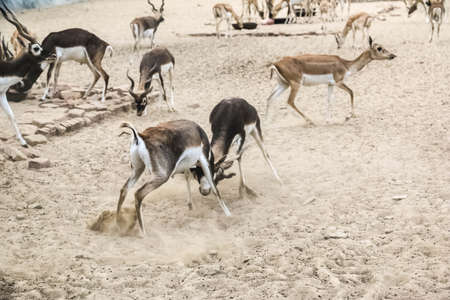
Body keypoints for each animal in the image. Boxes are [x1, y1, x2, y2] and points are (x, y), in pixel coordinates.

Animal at [266, 37, 396, 124]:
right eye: (379, 48)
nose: (393, 55)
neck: (346, 65)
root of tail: (276, 63)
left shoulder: (330, 84)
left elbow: (329, 100)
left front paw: (328, 120)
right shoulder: (338, 82)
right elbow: (351, 92)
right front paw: (349, 116)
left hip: (283, 84)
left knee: (270, 98)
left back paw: (268, 123)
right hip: (295, 84)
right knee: (290, 101)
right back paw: (310, 121)